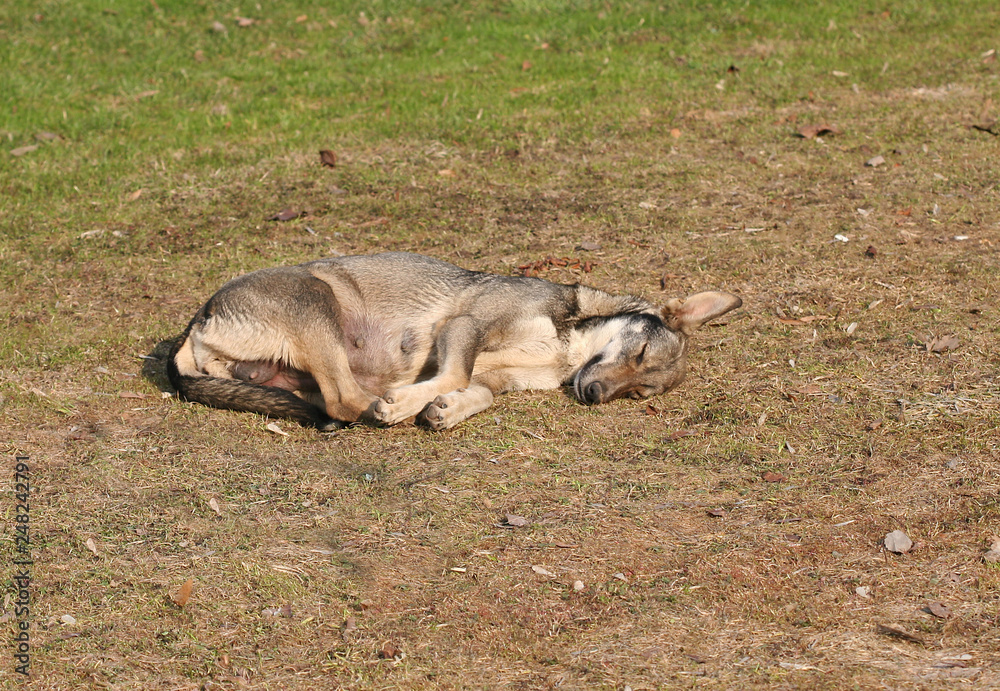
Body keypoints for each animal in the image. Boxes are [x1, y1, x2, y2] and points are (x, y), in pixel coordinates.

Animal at [167, 252, 741, 430]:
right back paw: (386, 406)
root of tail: (199, 320)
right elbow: (457, 371)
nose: (594, 395)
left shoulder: (498, 377)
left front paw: (448, 409)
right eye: (638, 354)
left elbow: (478, 390)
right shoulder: (463, 328)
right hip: (318, 300)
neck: (566, 351)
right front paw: (413, 402)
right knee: (345, 400)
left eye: (640, 391)